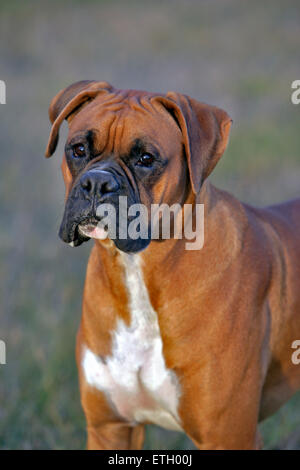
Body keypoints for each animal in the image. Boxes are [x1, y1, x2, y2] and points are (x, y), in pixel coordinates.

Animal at [45, 80, 300, 448]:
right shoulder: (110, 428)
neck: (137, 272)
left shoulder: (228, 436)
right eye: (78, 150)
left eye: (146, 158)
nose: (97, 183)